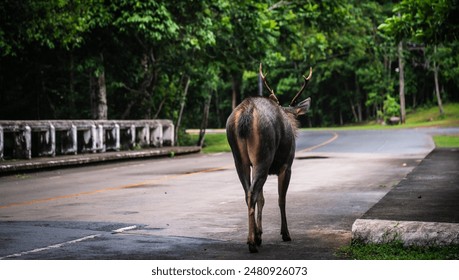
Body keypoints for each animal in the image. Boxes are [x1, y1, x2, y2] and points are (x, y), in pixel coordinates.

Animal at [226, 64, 312, 254]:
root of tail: (246, 113)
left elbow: (263, 199)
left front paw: (260, 233)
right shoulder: (287, 165)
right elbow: (281, 199)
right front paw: (285, 233)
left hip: (240, 158)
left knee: (248, 193)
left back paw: (251, 239)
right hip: (263, 154)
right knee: (252, 193)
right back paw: (252, 244)